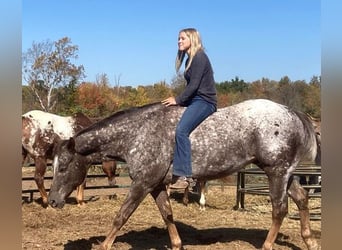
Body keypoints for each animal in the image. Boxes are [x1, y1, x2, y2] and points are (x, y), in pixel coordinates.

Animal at [46, 98, 320, 249]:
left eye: (63, 166)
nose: (52, 201)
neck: (137, 133)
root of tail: (292, 113)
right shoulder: (156, 185)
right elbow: (168, 215)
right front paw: (177, 244)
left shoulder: (142, 184)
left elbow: (121, 216)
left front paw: (104, 245)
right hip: (286, 174)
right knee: (302, 199)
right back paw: (310, 241)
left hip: (276, 172)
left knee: (279, 210)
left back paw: (267, 245)